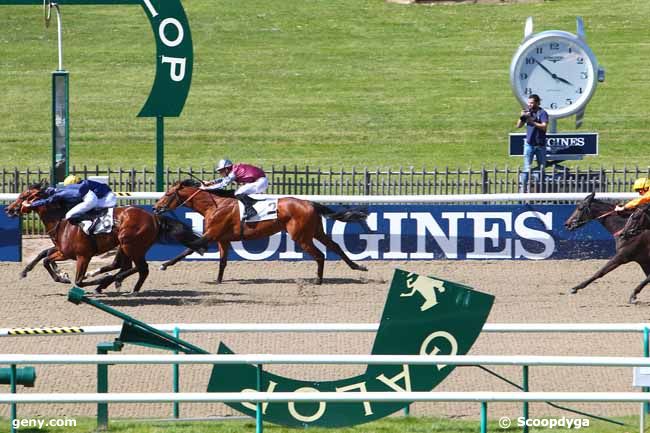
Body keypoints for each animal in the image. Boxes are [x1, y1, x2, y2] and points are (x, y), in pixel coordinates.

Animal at [4, 181, 202, 292]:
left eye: (24, 196)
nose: (9, 209)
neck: (63, 220)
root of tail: (153, 216)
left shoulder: (82, 256)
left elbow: (79, 281)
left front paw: (83, 278)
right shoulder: (64, 251)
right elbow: (45, 257)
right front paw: (57, 275)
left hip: (131, 245)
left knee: (141, 268)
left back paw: (122, 286)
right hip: (126, 246)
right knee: (127, 266)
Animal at [149, 177, 368, 282]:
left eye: (168, 194)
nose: (155, 208)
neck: (215, 205)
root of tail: (311, 203)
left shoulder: (211, 234)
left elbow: (189, 248)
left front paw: (164, 264)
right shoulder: (222, 239)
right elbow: (222, 262)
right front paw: (218, 281)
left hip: (301, 236)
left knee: (320, 255)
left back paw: (318, 280)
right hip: (315, 231)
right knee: (335, 247)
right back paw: (358, 267)